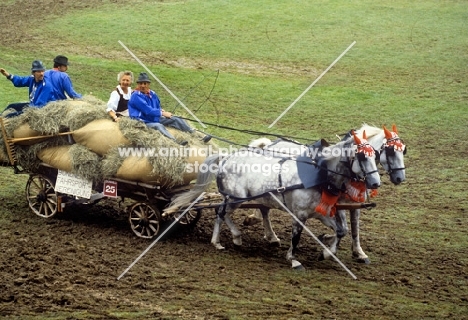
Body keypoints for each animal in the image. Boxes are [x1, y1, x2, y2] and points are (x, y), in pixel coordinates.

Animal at [165, 132, 380, 270]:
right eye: (361, 156)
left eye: (375, 155)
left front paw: (326, 253)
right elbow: (296, 236)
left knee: (221, 213)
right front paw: (293, 260)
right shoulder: (300, 214)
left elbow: (341, 230)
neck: (317, 176)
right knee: (221, 212)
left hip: (235, 198)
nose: (375, 182)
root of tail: (226, 158)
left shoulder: (320, 213)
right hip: (236, 198)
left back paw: (223, 240)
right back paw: (228, 238)